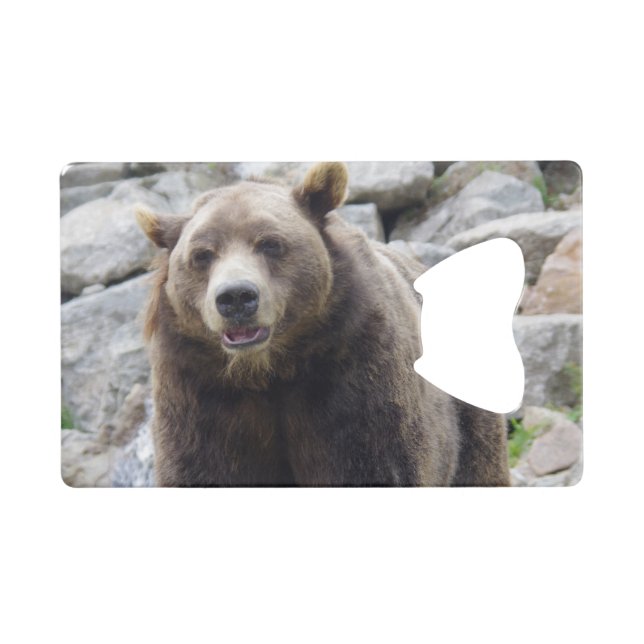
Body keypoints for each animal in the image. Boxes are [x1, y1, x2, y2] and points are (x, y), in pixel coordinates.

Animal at [135, 162, 510, 486]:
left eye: (270, 243)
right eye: (202, 254)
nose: (236, 297)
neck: (267, 371)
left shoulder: (354, 374)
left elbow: (376, 464)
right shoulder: (199, 394)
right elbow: (204, 470)